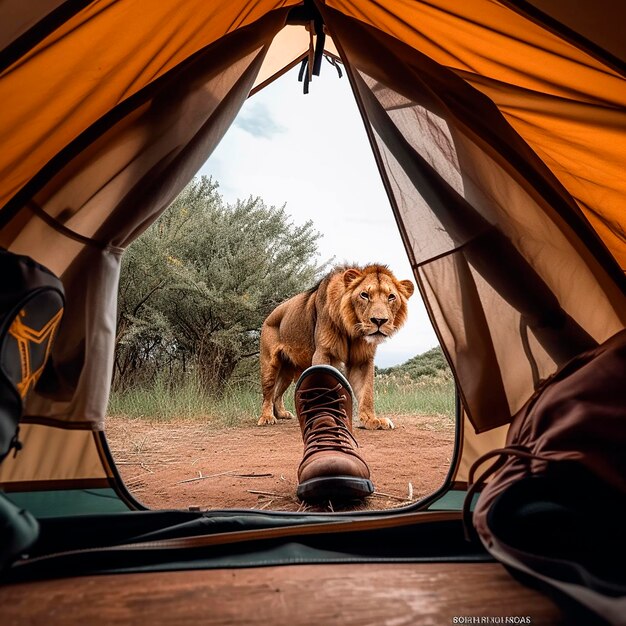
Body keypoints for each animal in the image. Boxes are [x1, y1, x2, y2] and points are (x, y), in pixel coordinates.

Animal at [256, 264, 412, 428]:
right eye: (364, 295)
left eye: (391, 297)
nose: (379, 320)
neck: (352, 330)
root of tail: (269, 314)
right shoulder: (323, 353)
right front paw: (324, 418)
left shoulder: (362, 360)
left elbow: (367, 392)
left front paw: (372, 420)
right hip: (269, 365)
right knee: (268, 394)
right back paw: (267, 417)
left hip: (287, 371)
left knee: (277, 393)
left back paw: (281, 414)